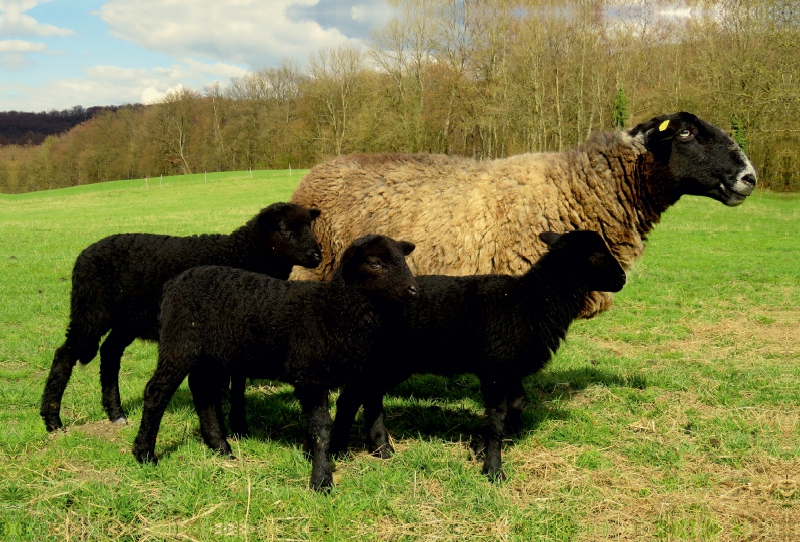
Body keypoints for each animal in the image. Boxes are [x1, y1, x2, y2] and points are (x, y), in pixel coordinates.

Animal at [39, 203, 322, 434]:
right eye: (284, 229)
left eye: (310, 226)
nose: (317, 255)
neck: (243, 255)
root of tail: (84, 254)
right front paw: (234, 425)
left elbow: (237, 382)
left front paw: (235, 424)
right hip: (90, 311)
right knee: (65, 354)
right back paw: (53, 420)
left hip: (127, 320)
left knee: (109, 353)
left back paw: (115, 414)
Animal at [131, 234, 418, 492]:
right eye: (375, 263)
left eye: (403, 259)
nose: (413, 290)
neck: (333, 312)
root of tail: (173, 283)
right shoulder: (310, 374)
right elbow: (321, 427)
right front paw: (321, 481)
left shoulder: (325, 377)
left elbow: (324, 420)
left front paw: (313, 455)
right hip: (179, 342)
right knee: (157, 392)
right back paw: (144, 453)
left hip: (210, 354)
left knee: (203, 391)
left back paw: (220, 447)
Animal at [328, 230, 628, 480]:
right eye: (597, 254)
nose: (623, 278)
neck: (532, 302)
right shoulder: (494, 368)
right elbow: (496, 416)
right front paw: (493, 468)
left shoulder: (509, 369)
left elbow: (516, 404)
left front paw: (485, 445)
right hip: (378, 359)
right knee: (349, 399)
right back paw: (338, 451)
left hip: (391, 363)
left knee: (371, 397)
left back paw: (382, 449)